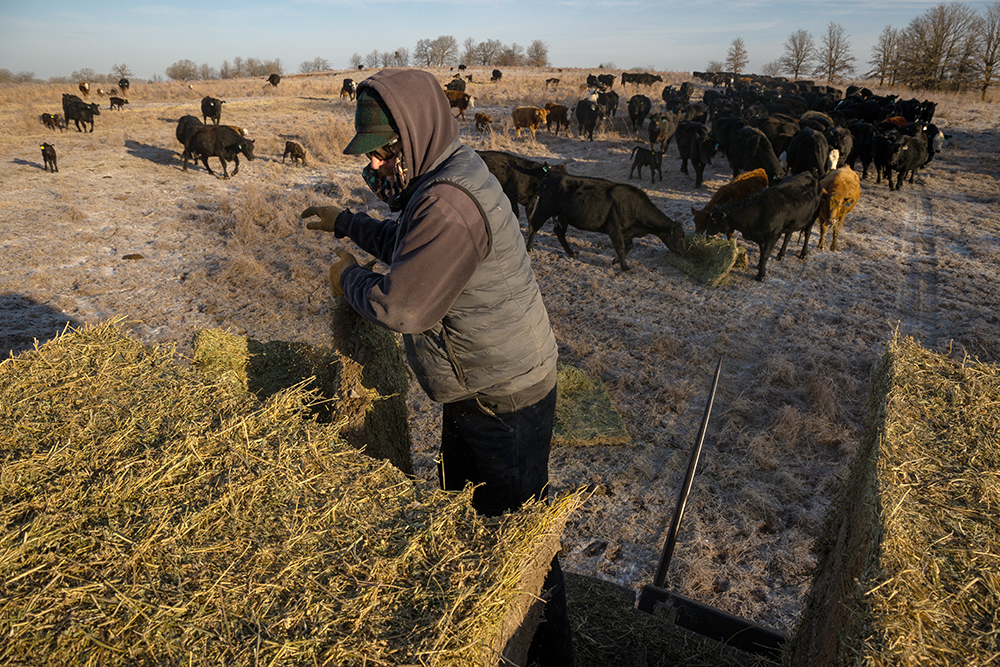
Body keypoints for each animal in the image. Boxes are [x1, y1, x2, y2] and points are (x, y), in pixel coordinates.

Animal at [524, 172, 688, 272]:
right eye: (680, 237)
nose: (684, 252)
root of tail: (549, 175)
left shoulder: (626, 232)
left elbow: (629, 246)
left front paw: (615, 261)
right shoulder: (614, 230)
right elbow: (621, 248)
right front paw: (625, 267)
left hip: (563, 216)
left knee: (558, 232)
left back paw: (571, 252)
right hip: (545, 208)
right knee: (534, 225)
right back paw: (529, 248)